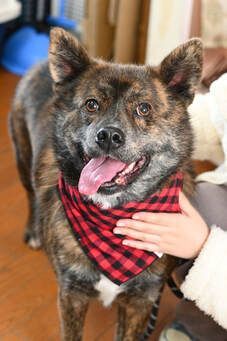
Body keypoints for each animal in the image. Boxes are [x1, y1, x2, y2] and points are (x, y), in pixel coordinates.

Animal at [9, 29, 202, 340]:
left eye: (144, 108)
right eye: (91, 104)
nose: (109, 135)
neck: (114, 215)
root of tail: (39, 65)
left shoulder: (141, 300)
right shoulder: (71, 295)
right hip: (22, 156)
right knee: (30, 195)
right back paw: (34, 230)